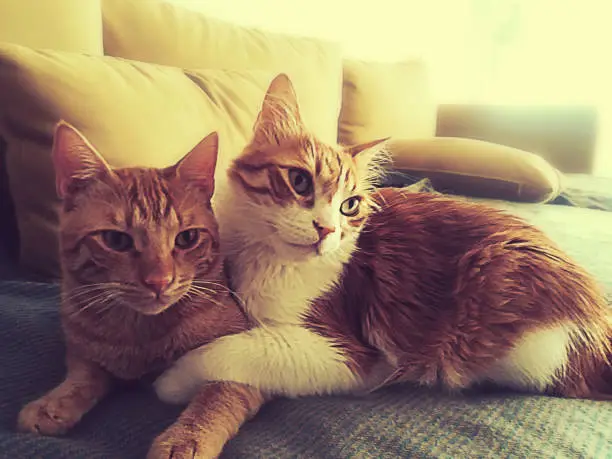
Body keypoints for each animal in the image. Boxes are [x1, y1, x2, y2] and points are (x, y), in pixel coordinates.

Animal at [16, 123, 266, 459]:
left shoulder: (246, 360)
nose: (159, 281)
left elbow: (213, 399)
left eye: (187, 238)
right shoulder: (83, 351)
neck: (139, 335)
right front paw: (53, 403)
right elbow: (83, 376)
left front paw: (183, 439)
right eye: (116, 240)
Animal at [154, 74, 612, 406]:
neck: (261, 257)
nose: (326, 230)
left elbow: (233, 348)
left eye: (349, 205)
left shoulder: (350, 356)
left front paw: (171, 380)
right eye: (299, 182)